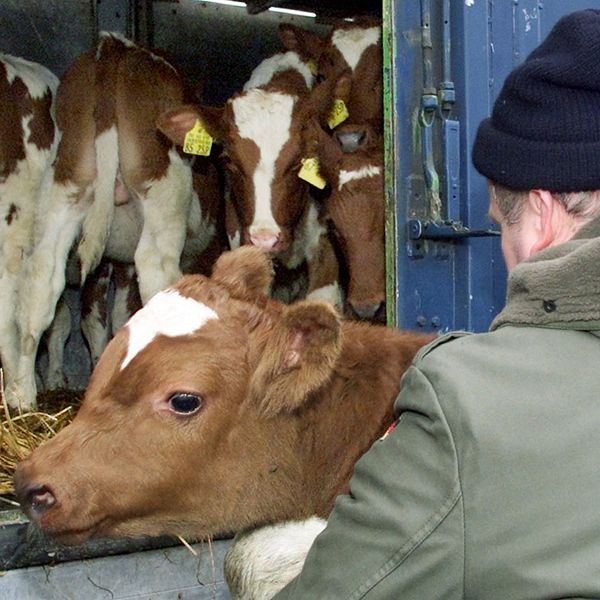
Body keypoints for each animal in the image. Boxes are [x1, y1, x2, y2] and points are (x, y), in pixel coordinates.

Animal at [8, 31, 199, 408]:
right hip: (165, 190)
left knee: (40, 281)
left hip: (67, 184)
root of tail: (115, 47)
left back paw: (23, 398)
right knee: (156, 272)